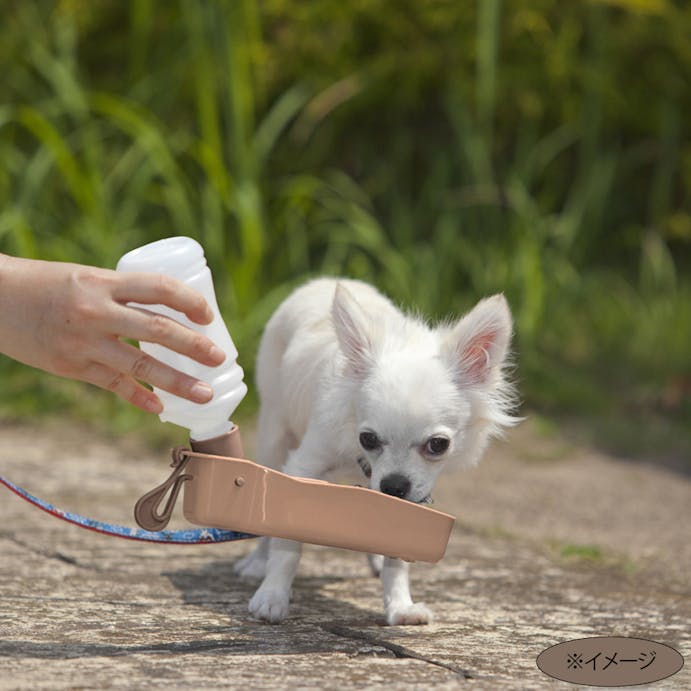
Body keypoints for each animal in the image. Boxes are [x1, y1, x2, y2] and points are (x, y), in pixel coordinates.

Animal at [235, 278, 516, 624]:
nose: (394, 485)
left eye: (438, 445)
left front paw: (400, 606)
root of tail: (322, 280)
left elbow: (396, 556)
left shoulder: (411, 498)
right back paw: (258, 563)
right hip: (273, 434)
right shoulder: (303, 468)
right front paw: (272, 596)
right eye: (367, 439)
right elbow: (287, 541)